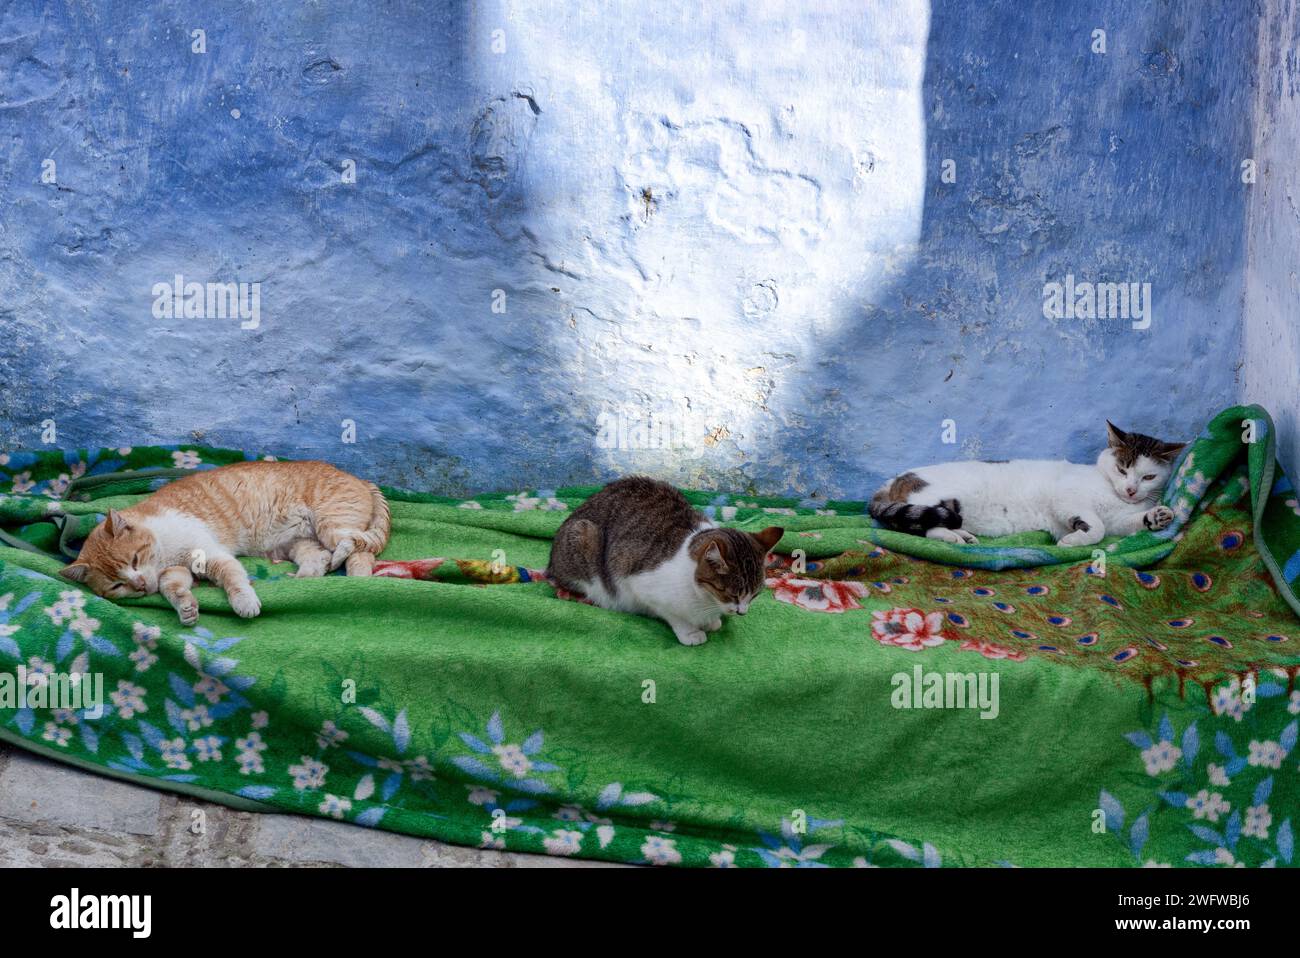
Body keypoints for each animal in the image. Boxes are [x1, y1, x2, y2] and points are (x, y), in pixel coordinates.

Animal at [62, 460, 384, 623]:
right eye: (118, 585)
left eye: (135, 560)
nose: (140, 586)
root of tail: (359, 478)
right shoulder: (174, 572)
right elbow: (171, 587)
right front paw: (186, 608)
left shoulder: (211, 556)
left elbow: (233, 579)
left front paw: (245, 602)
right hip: (298, 543)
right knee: (320, 559)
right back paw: (302, 579)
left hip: (331, 525)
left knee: (358, 550)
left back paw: (358, 580)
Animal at [548, 475, 780, 647]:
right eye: (732, 594)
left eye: (755, 595)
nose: (742, 612)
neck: (706, 600)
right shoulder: (640, 586)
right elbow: (672, 614)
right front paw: (691, 632)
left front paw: (711, 622)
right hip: (583, 535)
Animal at [873, 421, 1190, 545]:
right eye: (1122, 469)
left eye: (1148, 477)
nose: (1131, 490)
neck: (1114, 497)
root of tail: (895, 479)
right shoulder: (1067, 498)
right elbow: (1097, 528)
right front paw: (1072, 540)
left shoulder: (1119, 522)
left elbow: (1127, 524)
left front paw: (1157, 516)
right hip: (942, 501)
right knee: (925, 526)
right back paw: (953, 537)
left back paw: (963, 535)